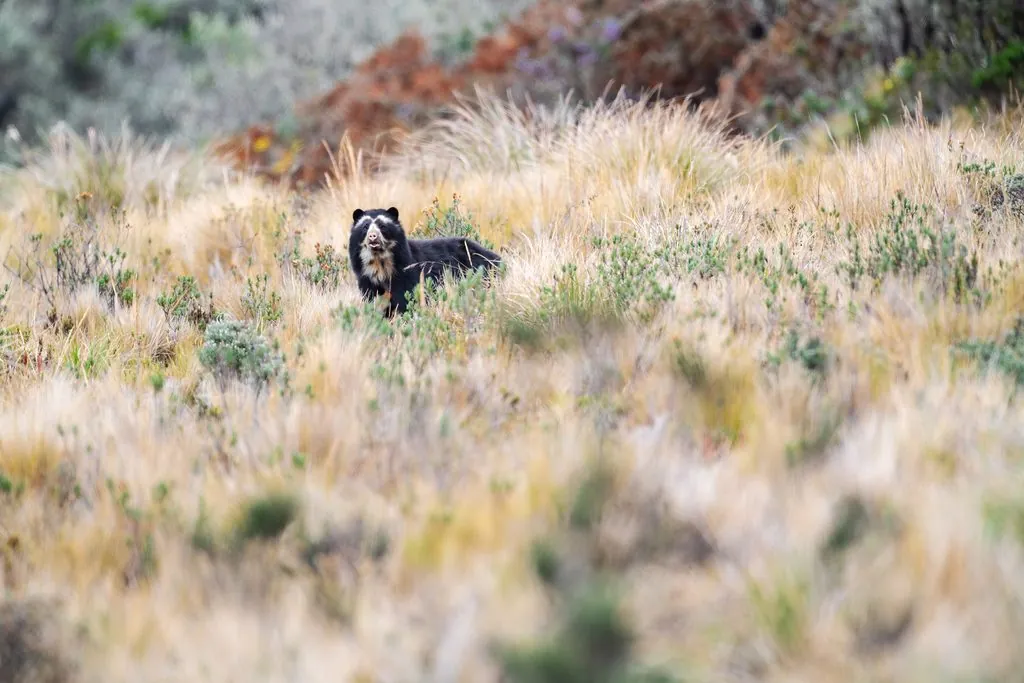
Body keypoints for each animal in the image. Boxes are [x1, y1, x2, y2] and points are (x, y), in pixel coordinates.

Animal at [348, 206, 503, 317]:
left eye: (383, 227)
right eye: (365, 227)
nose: (373, 237)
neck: (380, 263)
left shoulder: (406, 275)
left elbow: (405, 301)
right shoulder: (367, 279)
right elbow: (374, 302)